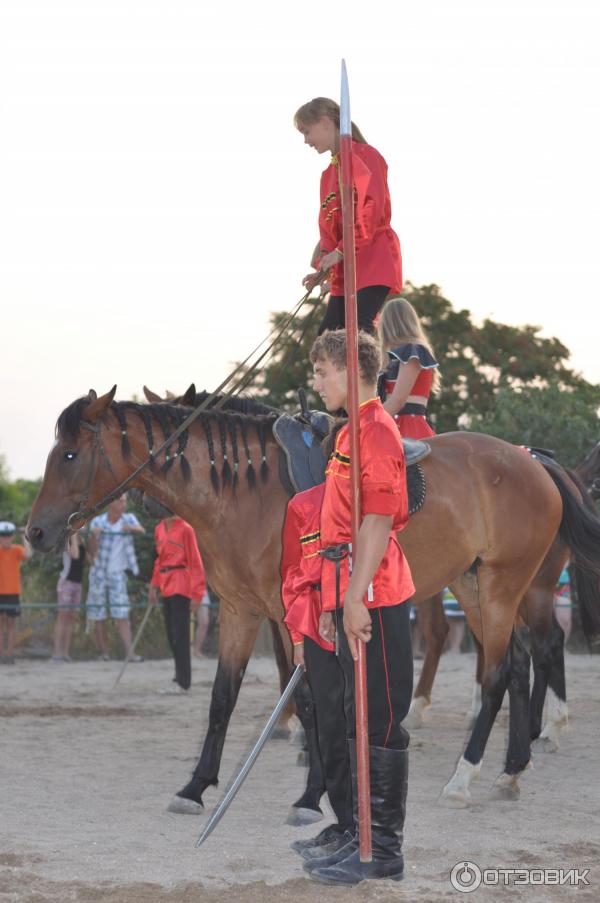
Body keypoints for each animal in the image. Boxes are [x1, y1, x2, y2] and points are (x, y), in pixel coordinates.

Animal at [28, 388, 600, 812]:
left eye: (70, 455)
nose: (36, 532)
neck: (242, 492)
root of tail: (534, 463)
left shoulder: (290, 616)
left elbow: (307, 699)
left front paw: (313, 793)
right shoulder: (239, 610)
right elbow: (222, 697)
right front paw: (197, 786)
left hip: (507, 587)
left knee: (502, 670)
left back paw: (467, 774)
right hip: (475, 586)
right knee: (517, 663)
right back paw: (511, 769)